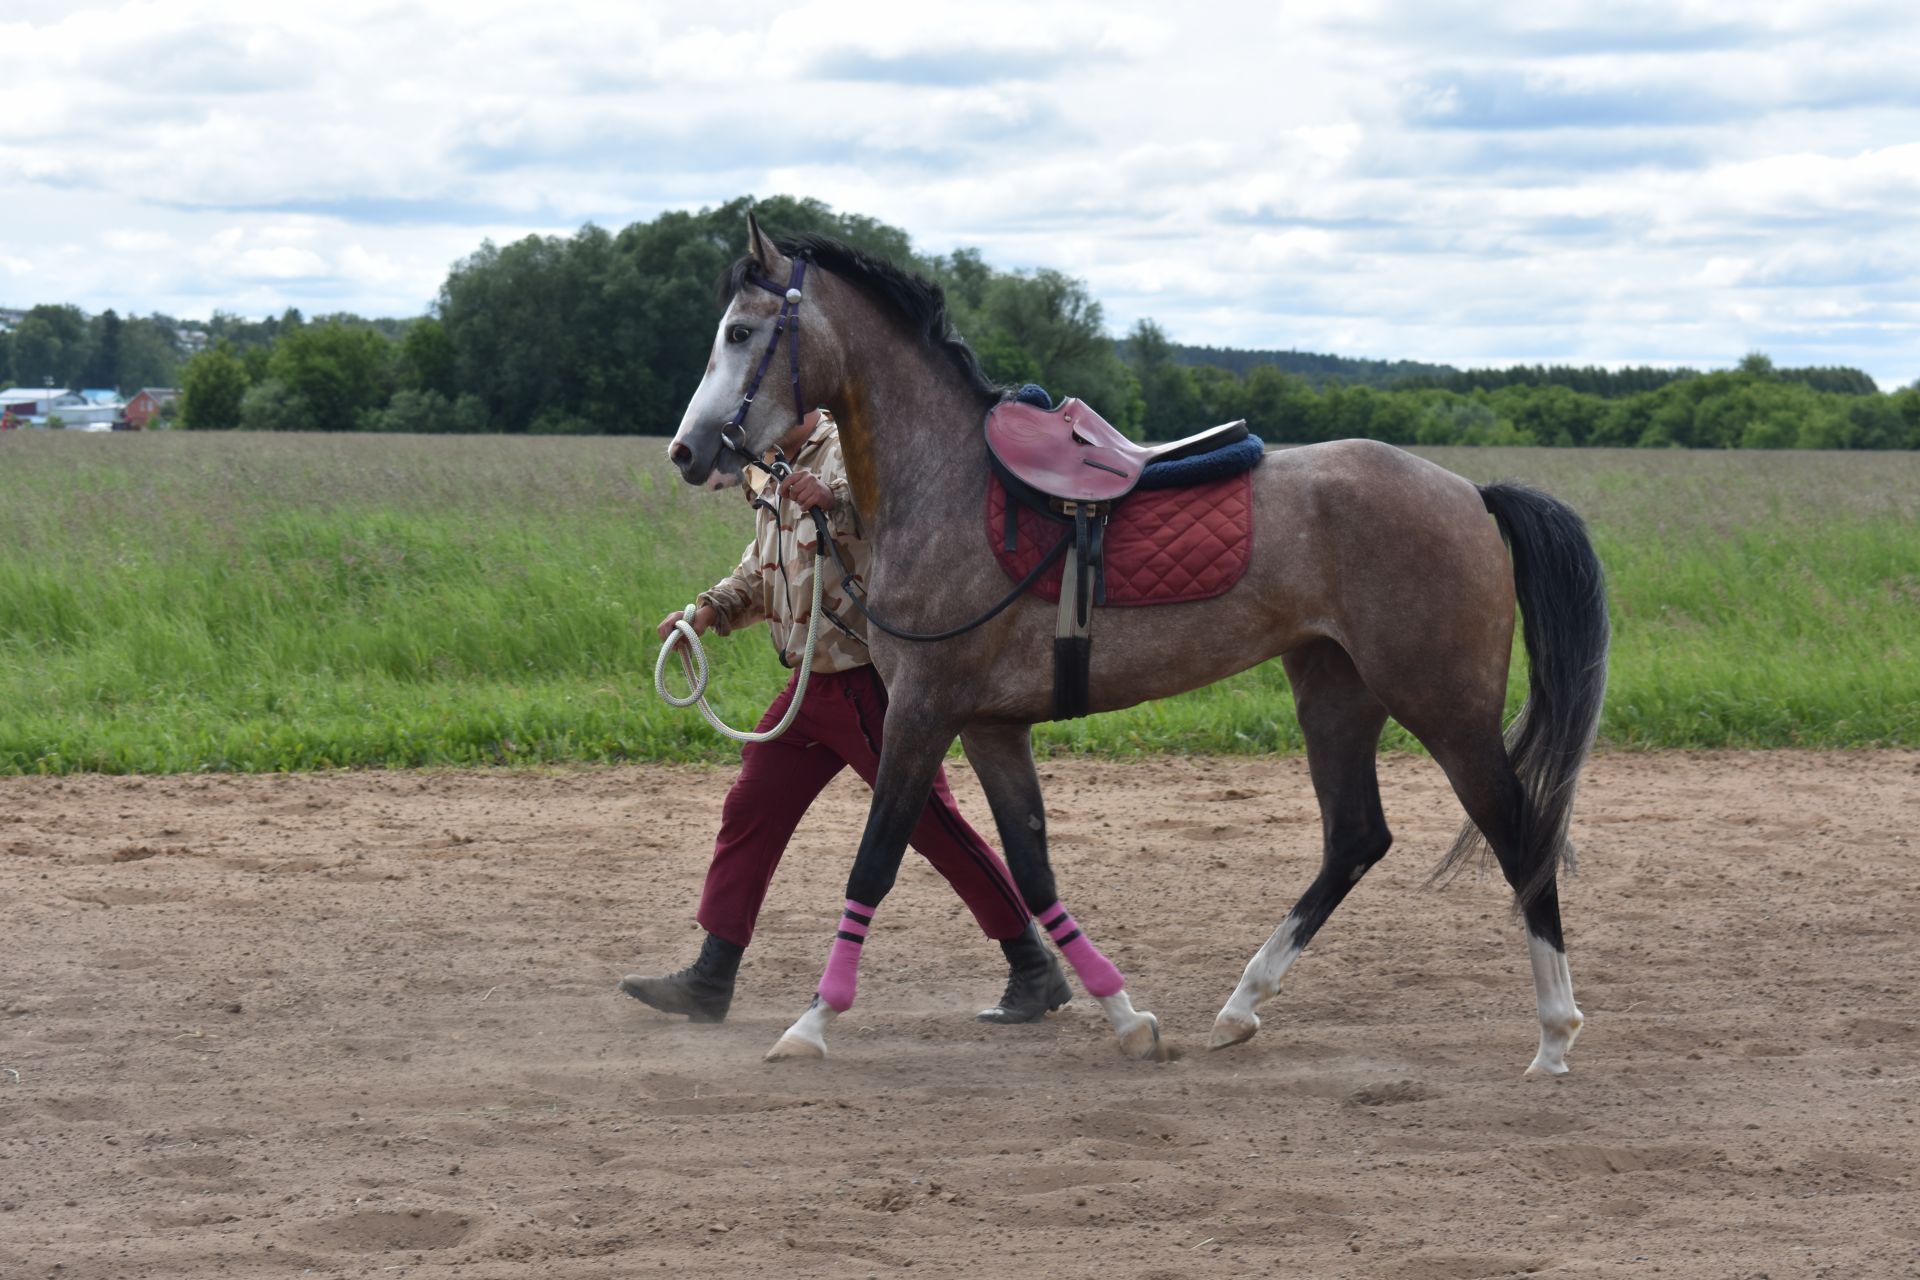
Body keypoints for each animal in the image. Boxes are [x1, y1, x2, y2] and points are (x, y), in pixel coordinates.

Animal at [660, 217, 1605, 1074]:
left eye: (740, 332)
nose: (687, 450)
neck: (947, 489)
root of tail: (1472, 494)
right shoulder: (989, 726)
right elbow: (1030, 869)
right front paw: (1126, 1017)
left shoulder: (922, 713)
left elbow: (878, 860)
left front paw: (813, 1020)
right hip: (1335, 690)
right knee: (1356, 838)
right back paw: (1241, 1006)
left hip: (1444, 706)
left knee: (1519, 833)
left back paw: (1555, 1034)